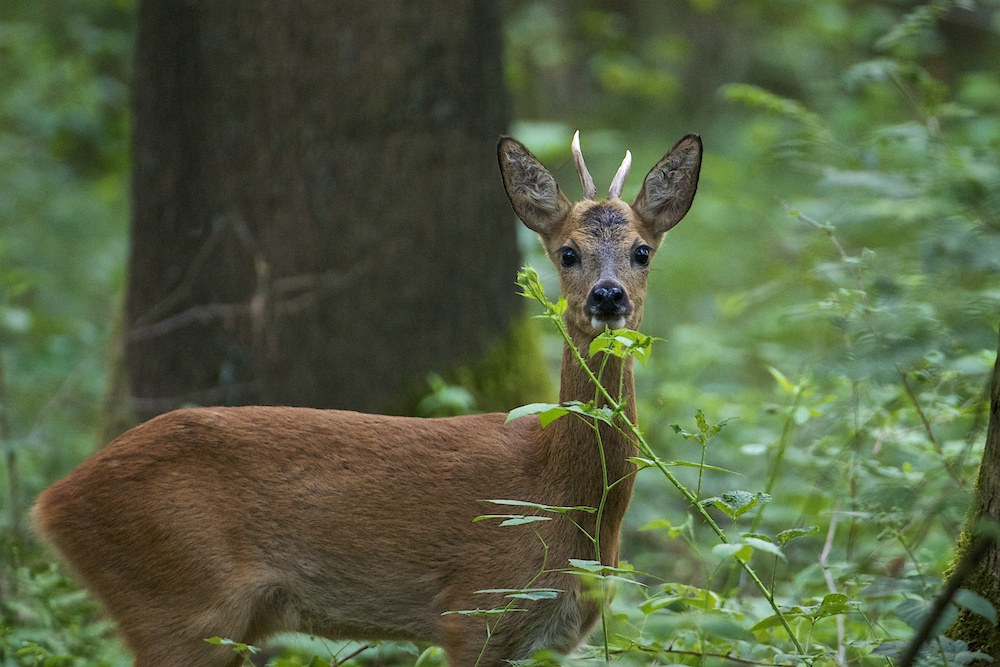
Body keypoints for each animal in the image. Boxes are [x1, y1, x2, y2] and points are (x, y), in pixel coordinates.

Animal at [33, 132, 704, 667]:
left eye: (642, 250)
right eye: (567, 252)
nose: (608, 296)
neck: (561, 496)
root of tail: (52, 502)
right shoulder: (474, 612)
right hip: (178, 602)